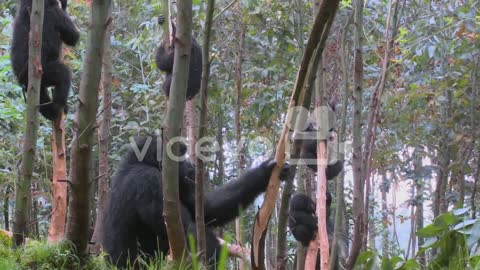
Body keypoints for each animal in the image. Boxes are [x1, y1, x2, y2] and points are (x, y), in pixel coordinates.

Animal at [101, 137, 288, 268]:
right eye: (180, 156)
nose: (190, 163)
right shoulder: (148, 182)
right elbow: (186, 227)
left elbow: (205, 210)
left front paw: (265, 172)